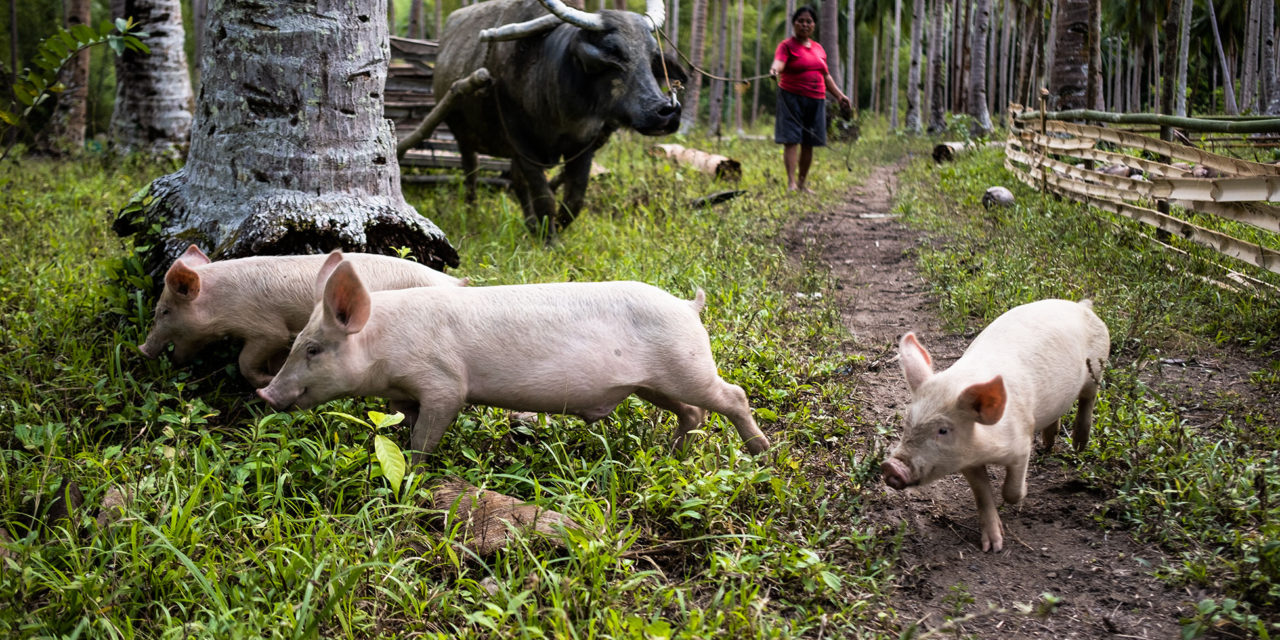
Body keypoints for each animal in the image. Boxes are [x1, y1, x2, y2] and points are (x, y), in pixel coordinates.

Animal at [138, 244, 465, 384]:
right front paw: (274, 373)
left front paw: (264, 379)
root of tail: (454, 282)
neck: (223, 302)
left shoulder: (265, 328)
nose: (141, 349)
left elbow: (246, 360)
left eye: (164, 311)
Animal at [254, 257, 762, 463]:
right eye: (298, 341)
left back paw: (760, 452)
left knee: (733, 395)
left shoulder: (444, 383)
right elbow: (406, 421)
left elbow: (426, 434)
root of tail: (688, 305)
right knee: (693, 413)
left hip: (687, 367)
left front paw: (415, 469)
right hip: (653, 385)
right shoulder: (409, 393)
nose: (264, 393)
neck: (384, 345)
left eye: (313, 349)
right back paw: (673, 453)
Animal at [432, 0, 691, 236]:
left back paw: (531, 225)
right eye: (613, 52)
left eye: (652, 55)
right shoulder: (522, 144)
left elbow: (574, 199)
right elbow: (544, 196)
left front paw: (554, 227)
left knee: (516, 181)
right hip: (463, 136)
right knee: (471, 173)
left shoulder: (583, 145)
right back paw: (472, 211)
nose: (666, 110)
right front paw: (550, 239)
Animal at [880, 296, 1111, 552]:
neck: (986, 448)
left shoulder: (1021, 445)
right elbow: (982, 493)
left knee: (1087, 400)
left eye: (943, 430)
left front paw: (1021, 498)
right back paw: (1048, 445)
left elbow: (1011, 490)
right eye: (907, 421)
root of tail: (1082, 305)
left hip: (1096, 369)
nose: (891, 466)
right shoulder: (966, 461)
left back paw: (1079, 446)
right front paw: (992, 546)